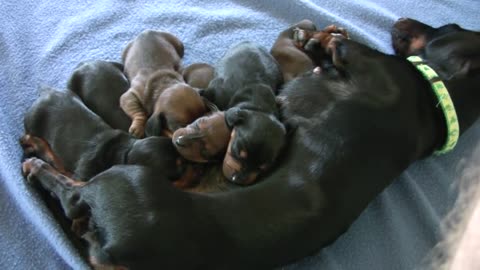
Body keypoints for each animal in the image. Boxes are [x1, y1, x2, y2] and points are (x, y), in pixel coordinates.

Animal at [22, 87, 199, 189]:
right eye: (180, 169)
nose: (200, 168)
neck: (126, 151)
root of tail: (43, 94)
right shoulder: (81, 177)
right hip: (32, 122)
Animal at [172, 41, 284, 186]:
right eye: (237, 151)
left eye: (263, 167)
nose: (238, 179)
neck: (257, 105)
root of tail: (250, 42)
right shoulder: (214, 91)